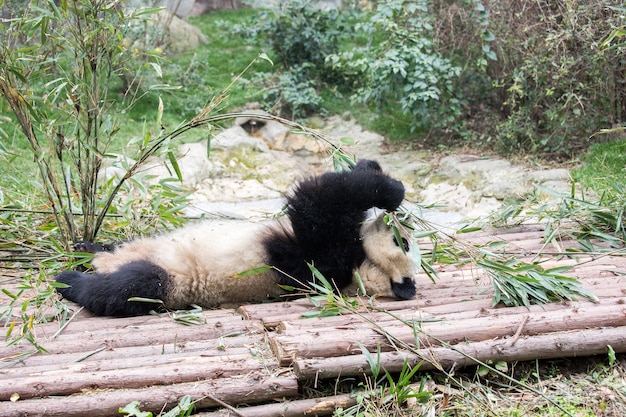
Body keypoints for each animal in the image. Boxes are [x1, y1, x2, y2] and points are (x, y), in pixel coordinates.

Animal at [54, 159, 414, 316]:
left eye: (405, 244)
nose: (406, 222)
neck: (362, 270)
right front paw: (373, 169)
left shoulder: (318, 262)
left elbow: (316, 201)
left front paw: (391, 190)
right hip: (142, 246)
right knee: (117, 249)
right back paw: (86, 248)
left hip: (171, 279)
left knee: (127, 288)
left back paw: (70, 280)